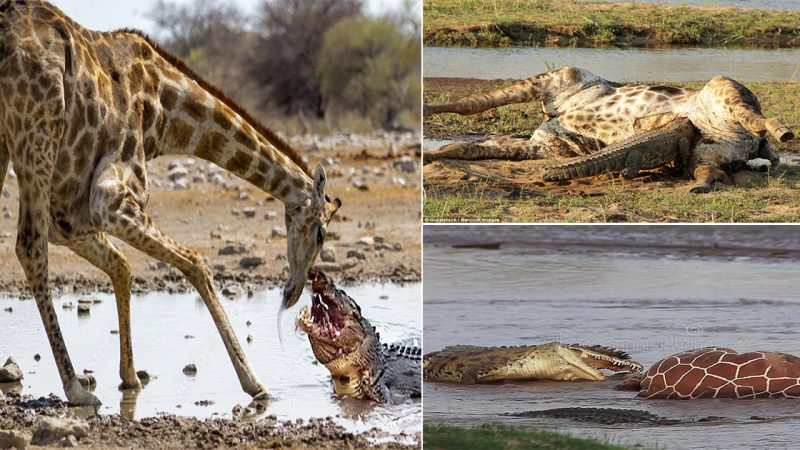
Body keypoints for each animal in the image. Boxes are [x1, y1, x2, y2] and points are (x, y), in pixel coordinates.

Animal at [0, 0, 340, 406]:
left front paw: (130, 378)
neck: (167, 114)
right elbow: (196, 262)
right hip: (36, 135)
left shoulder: (68, 216)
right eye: (321, 235)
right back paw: (76, 388)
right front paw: (255, 382)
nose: (292, 294)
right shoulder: (107, 198)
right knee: (29, 247)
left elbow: (123, 267)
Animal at [424, 66, 792, 192]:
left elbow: (472, 103)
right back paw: (699, 184)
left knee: (753, 116)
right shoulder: (543, 145)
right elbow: (468, 144)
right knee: (707, 169)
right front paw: (433, 153)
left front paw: (426, 110)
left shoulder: (559, 77)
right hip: (710, 148)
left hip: (723, 86)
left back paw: (782, 130)